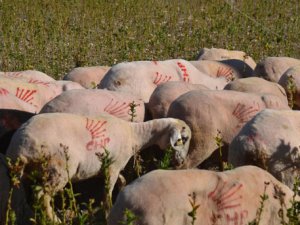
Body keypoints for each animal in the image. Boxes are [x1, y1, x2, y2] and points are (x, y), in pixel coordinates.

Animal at [5, 112, 191, 220]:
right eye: (183, 139)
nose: (181, 162)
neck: (135, 135)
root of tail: (20, 146)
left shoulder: (108, 167)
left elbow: (122, 181)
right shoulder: (114, 166)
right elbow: (107, 195)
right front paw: (108, 214)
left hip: (30, 173)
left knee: (31, 198)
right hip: (58, 168)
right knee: (41, 194)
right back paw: (53, 220)